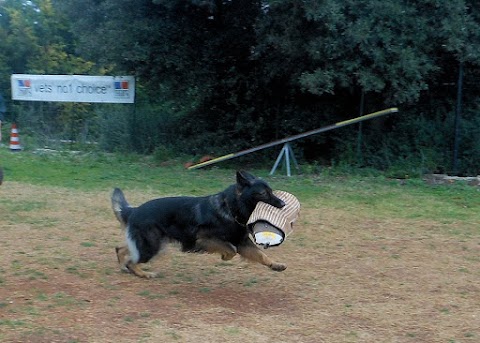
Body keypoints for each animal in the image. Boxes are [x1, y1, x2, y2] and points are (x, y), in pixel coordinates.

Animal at [110, 171, 286, 278]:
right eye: (263, 193)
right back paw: (143, 274)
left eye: (271, 191)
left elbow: (261, 255)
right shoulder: (204, 240)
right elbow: (231, 250)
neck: (230, 209)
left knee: (121, 249)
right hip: (152, 246)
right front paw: (225, 256)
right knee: (132, 260)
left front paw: (275, 265)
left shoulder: (242, 242)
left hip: (154, 243)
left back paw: (123, 266)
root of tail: (133, 210)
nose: (283, 204)